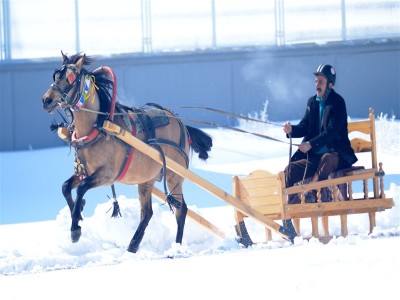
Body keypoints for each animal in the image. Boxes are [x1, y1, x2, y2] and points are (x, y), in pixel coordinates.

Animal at [41, 52, 212, 253]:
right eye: (54, 76)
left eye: (70, 78)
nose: (46, 100)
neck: (99, 126)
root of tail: (181, 124)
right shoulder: (83, 171)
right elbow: (66, 186)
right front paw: (79, 210)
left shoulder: (107, 174)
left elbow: (82, 188)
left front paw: (75, 228)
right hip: (146, 179)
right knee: (147, 213)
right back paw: (133, 245)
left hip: (174, 174)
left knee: (181, 209)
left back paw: (176, 246)